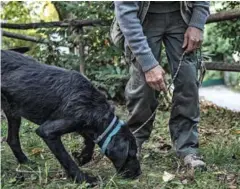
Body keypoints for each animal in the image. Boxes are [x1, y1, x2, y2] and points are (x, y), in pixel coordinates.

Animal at [0, 49, 141, 185]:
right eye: (132, 154)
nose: (139, 173)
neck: (93, 105)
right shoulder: (48, 131)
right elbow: (67, 159)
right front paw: (84, 179)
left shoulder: (82, 125)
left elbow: (90, 141)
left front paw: (83, 158)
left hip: (13, 113)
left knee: (12, 139)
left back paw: (25, 162)